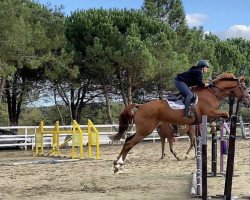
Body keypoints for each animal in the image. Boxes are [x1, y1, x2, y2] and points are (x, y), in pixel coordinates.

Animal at [112, 72, 250, 173]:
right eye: (244, 88)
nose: (248, 102)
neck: (212, 93)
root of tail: (140, 106)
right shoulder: (209, 112)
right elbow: (225, 114)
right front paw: (214, 127)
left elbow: (222, 117)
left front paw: (214, 127)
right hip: (145, 130)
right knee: (129, 144)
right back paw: (118, 165)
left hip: (142, 130)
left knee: (127, 140)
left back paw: (117, 162)